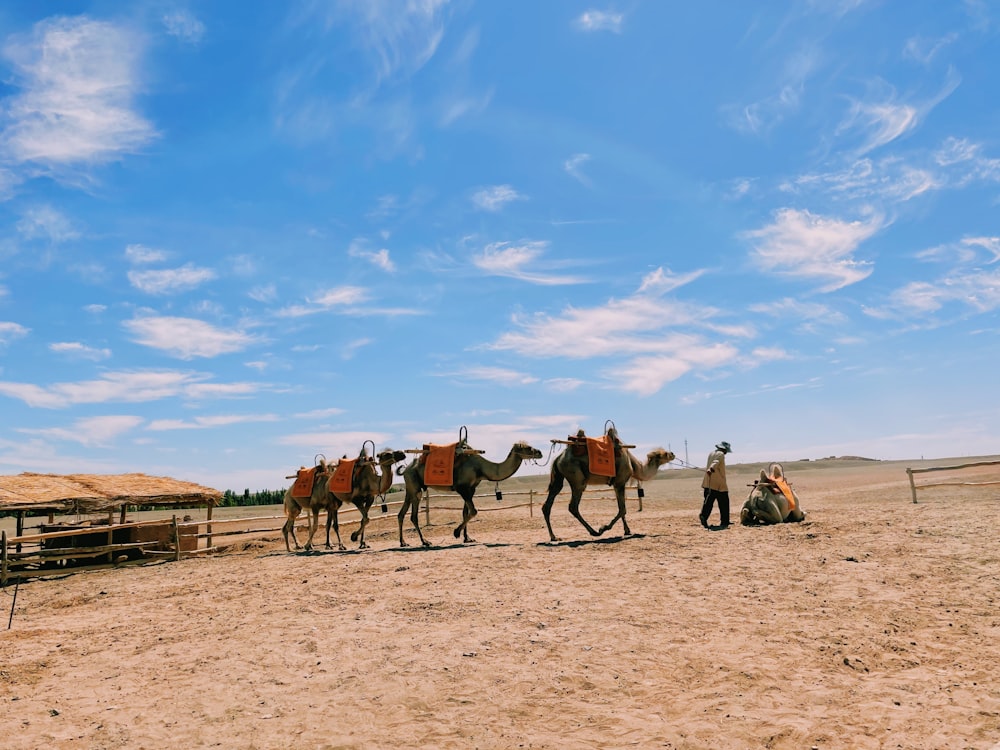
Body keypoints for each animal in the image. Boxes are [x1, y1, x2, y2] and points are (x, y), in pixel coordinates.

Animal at [396, 440, 544, 548]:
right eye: (528, 448)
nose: (540, 452)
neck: (480, 468)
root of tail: (406, 468)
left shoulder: (471, 489)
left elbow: (465, 512)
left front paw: (467, 538)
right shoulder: (462, 488)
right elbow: (473, 511)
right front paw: (456, 533)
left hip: (410, 487)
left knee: (401, 513)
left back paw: (403, 542)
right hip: (415, 486)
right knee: (413, 515)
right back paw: (425, 541)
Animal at [544, 428, 676, 548]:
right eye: (664, 454)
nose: (673, 454)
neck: (633, 464)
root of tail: (558, 458)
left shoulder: (616, 485)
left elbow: (622, 508)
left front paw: (627, 530)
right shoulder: (620, 482)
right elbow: (623, 509)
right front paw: (603, 528)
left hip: (559, 479)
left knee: (547, 505)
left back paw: (554, 537)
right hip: (577, 480)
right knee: (573, 506)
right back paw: (594, 532)